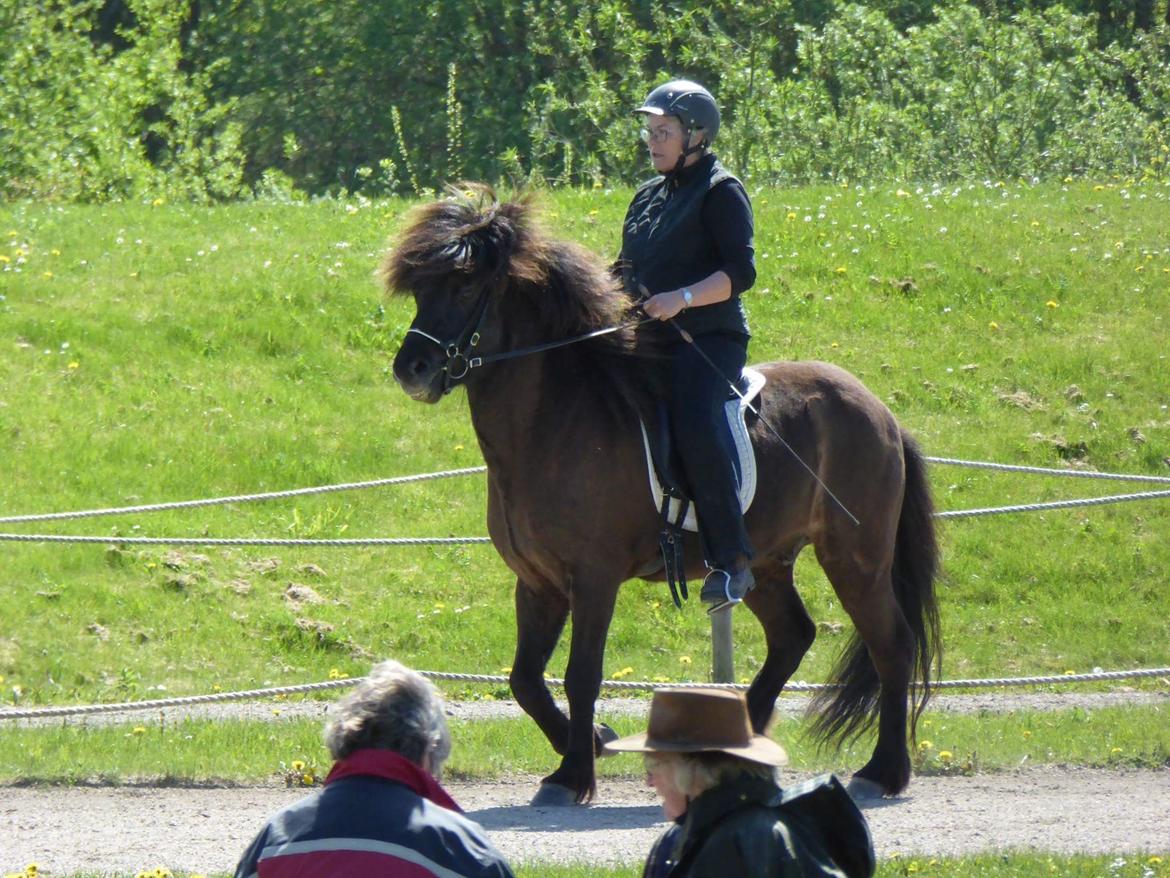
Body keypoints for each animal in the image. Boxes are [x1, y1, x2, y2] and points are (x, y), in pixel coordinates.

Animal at [383, 186, 940, 805]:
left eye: (464, 287)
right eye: (422, 291)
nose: (412, 369)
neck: (553, 422)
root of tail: (881, 412)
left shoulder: (593, 578)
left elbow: (581, 675)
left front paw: (572, 775)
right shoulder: (537, 583)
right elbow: (524, 680)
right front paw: (593, 741)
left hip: (856, 560)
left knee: (892, 645)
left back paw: (883, 770)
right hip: (767, 564)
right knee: (793, 636)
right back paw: (741, 743)